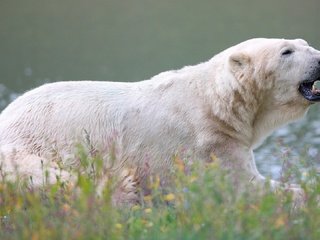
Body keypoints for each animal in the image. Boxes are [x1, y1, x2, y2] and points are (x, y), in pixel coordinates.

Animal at [0, 38, 320, 203]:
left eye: (304, 42)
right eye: (287, 50)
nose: (319, 57)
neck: (216, 102)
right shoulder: (209, 143)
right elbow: (245, 187)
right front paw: (301, 193)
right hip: (27, 146)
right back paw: (122, 187)